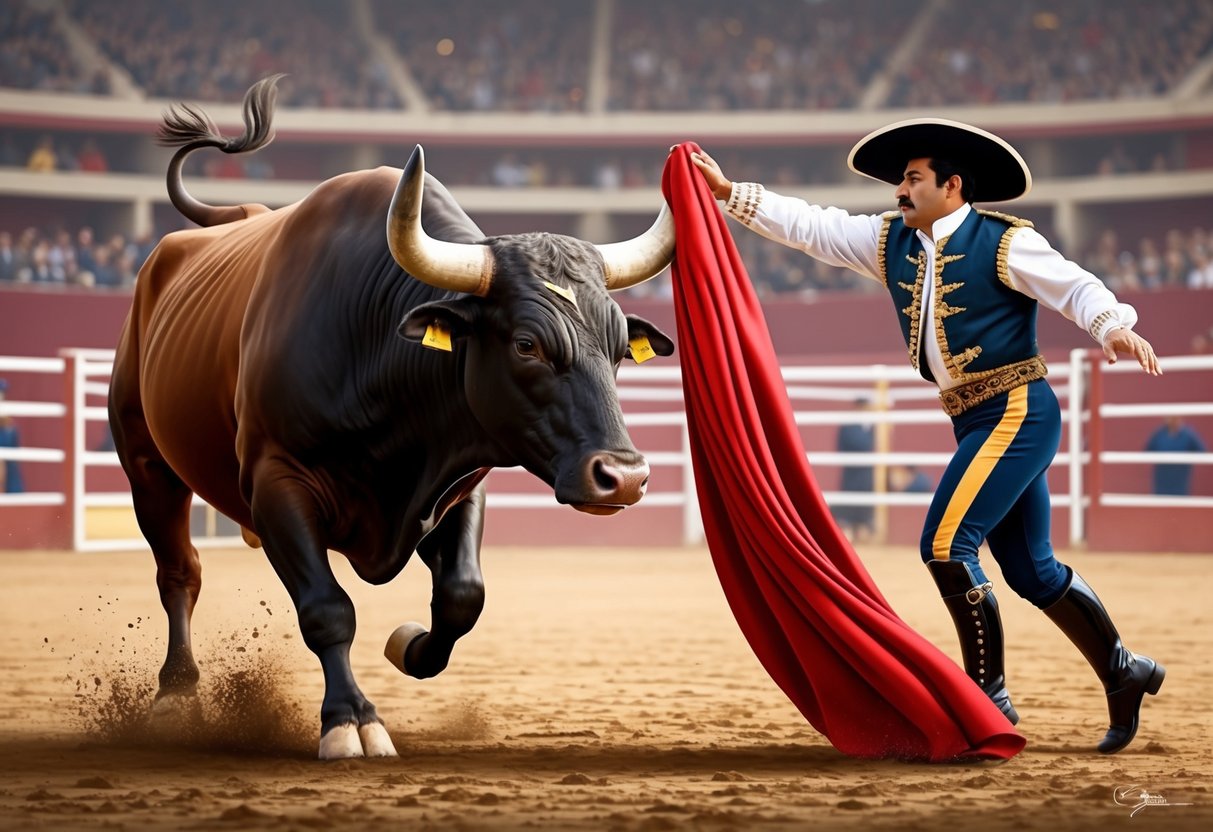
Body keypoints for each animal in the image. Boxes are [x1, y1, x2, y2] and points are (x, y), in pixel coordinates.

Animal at [105, 78, 679, 761]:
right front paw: (350, 720)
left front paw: (409, 645)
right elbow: (328, 609)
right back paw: (175, 694)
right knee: (179, 573)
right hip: (147, 465)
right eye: (526, 345)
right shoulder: (276, 483)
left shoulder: (455, 487)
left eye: (620, 349)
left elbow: (462, 596)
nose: (623, 476)